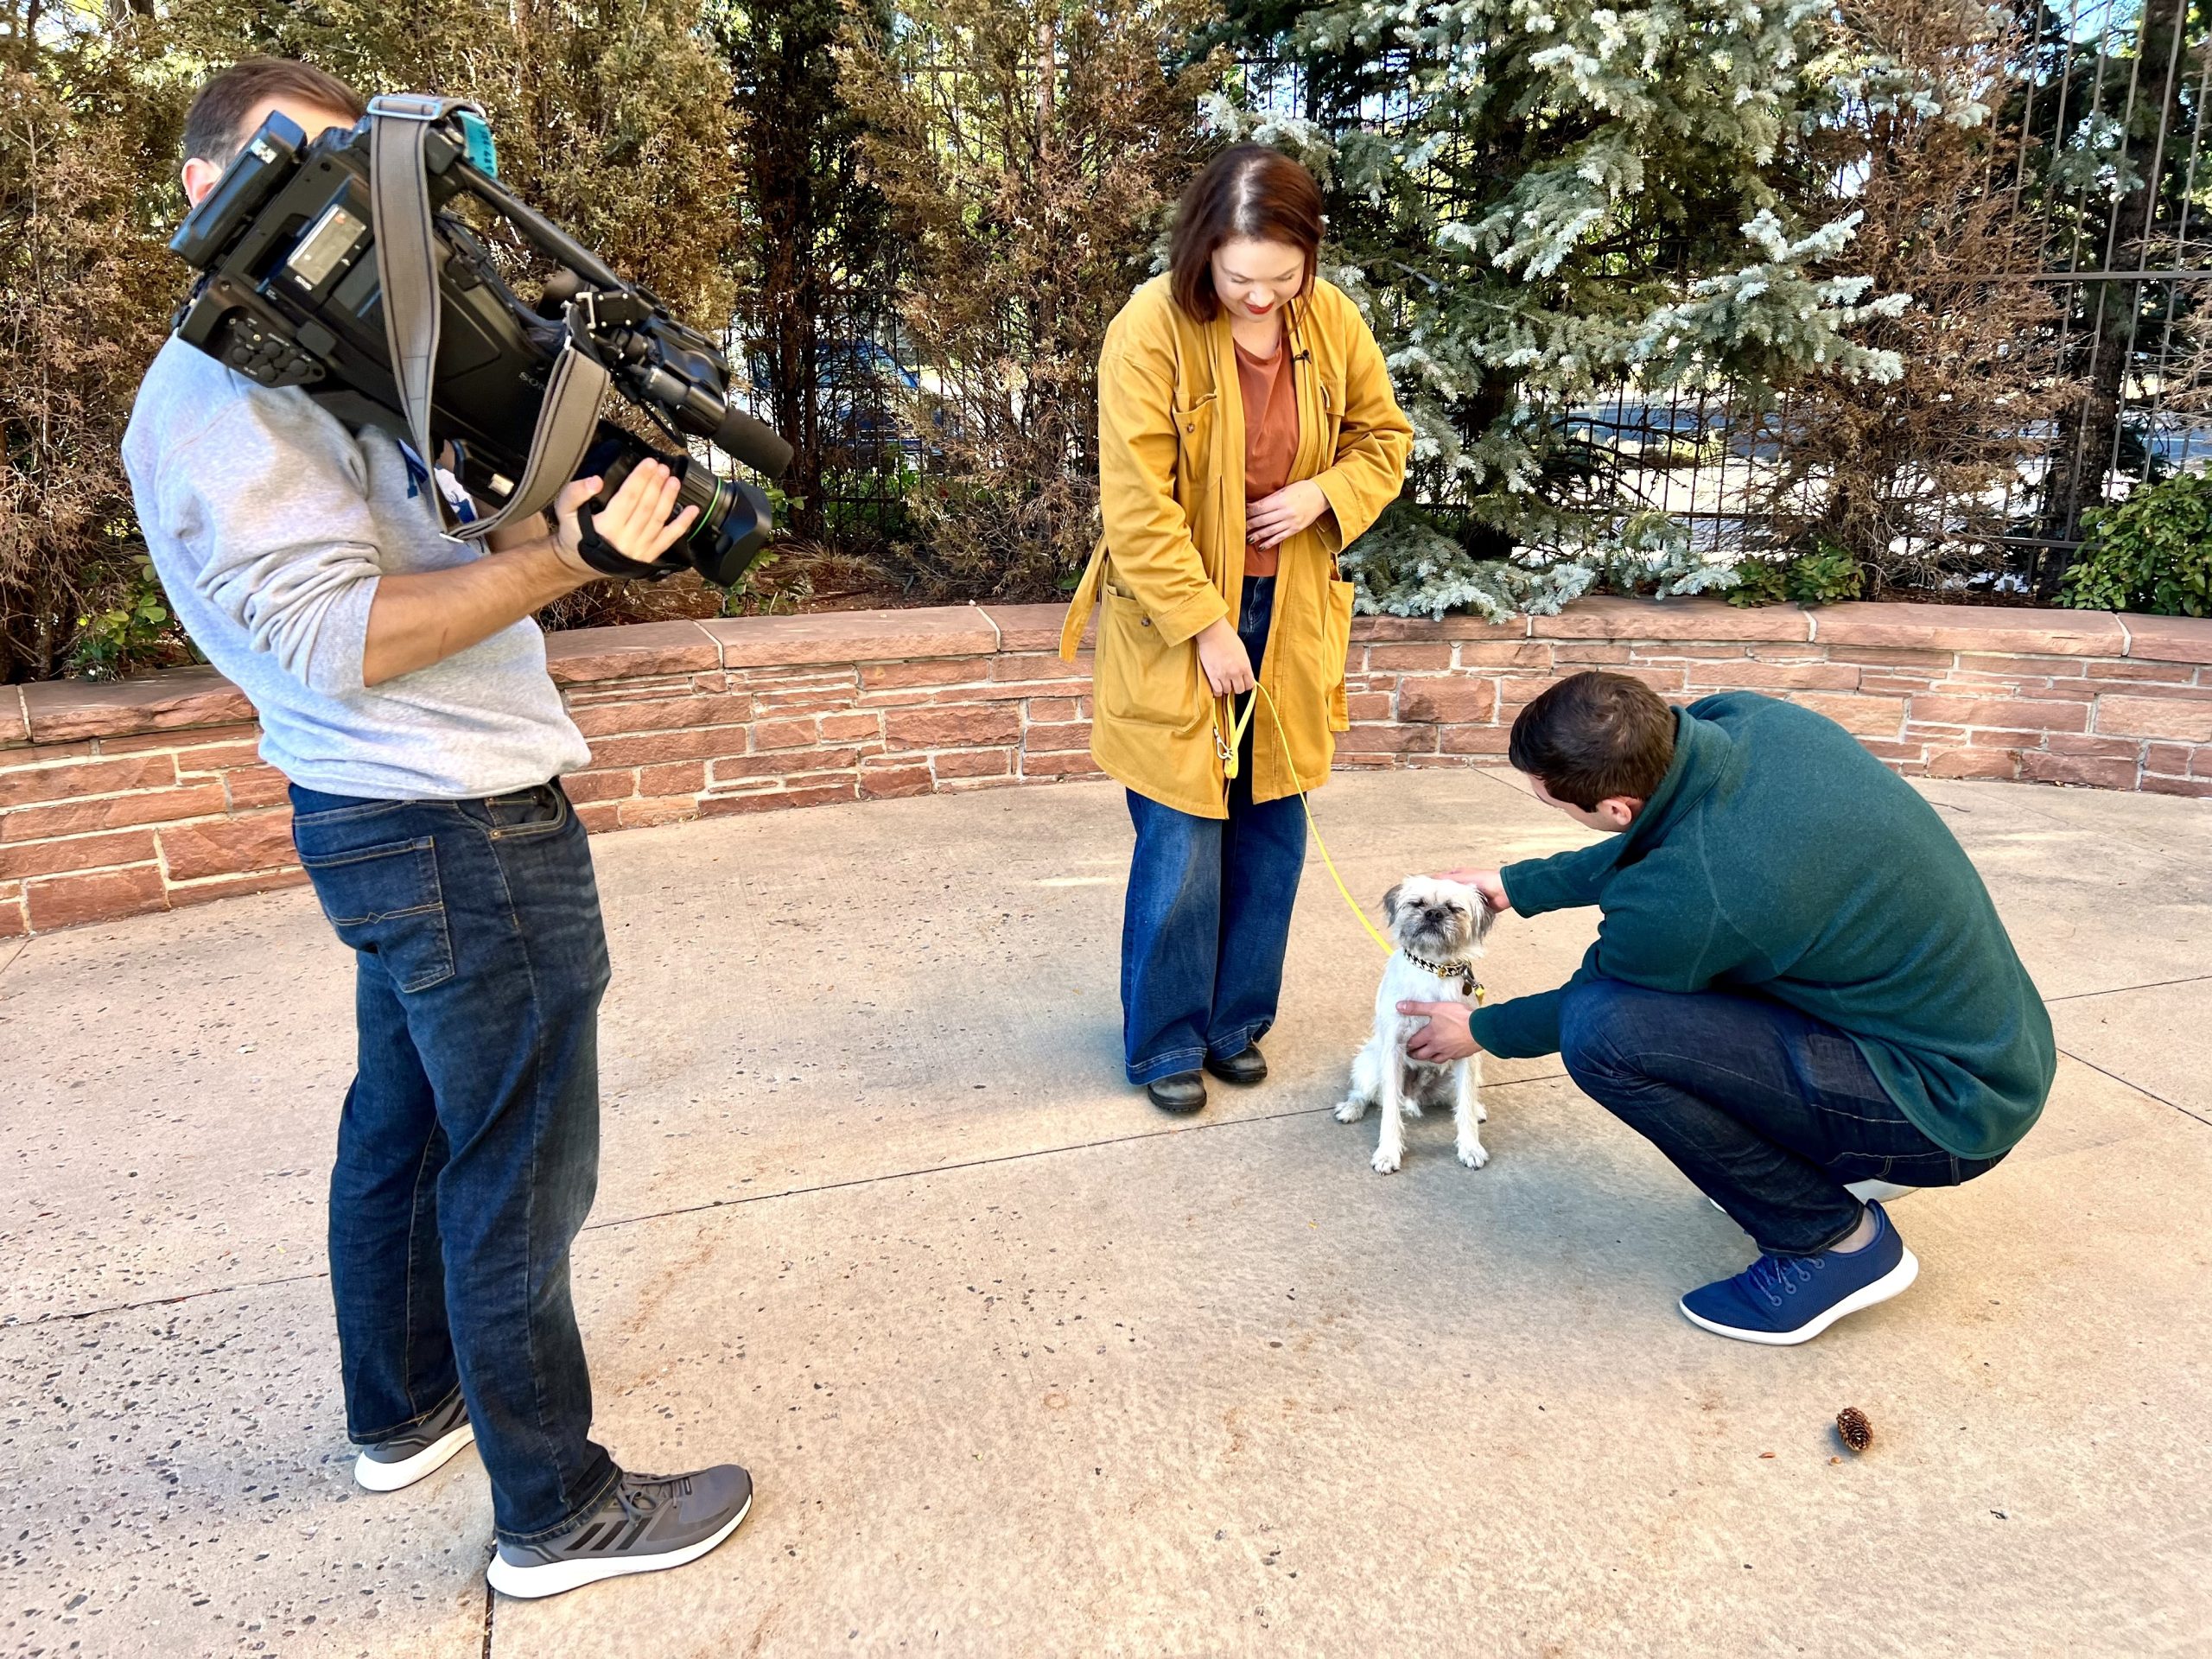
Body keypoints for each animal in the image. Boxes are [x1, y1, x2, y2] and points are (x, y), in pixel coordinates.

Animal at [1336, 875, 1495, 1176]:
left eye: (1453, 908)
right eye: (1418, 904)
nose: (1433, 913)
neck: (1435, 969)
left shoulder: (1465, 1051)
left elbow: (1465, 1106)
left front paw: (1470, 1147)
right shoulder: (1394, 1051)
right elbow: (1390, 1111)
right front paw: (1388, 1153)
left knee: (1460, 1100)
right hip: (1370, 1063)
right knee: (1362, 1093)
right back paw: (1351, 1109)